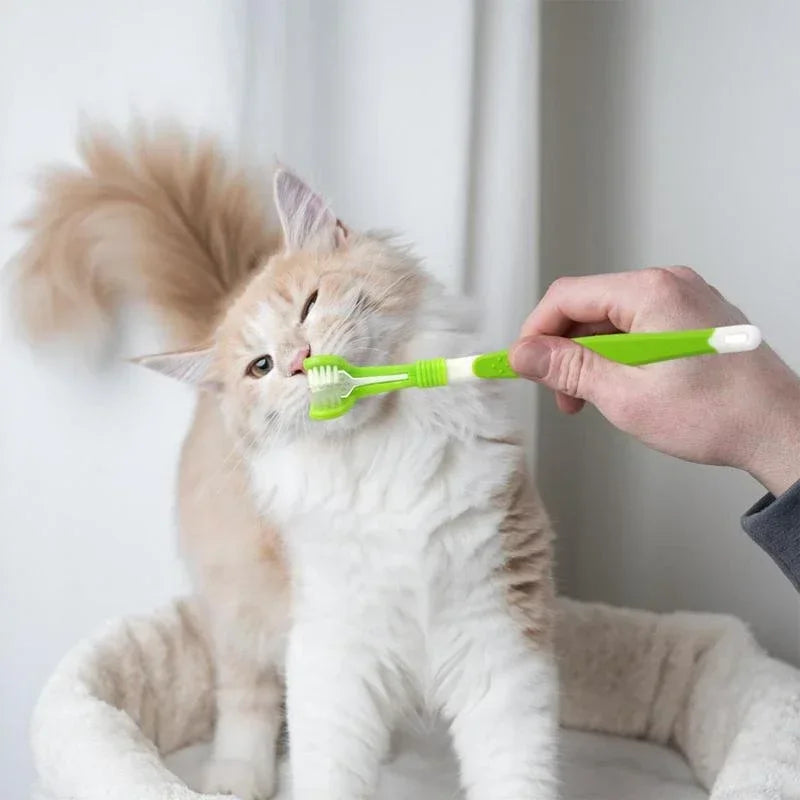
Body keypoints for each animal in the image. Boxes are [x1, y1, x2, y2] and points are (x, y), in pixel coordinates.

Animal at [14, 125, 564, 800]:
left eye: (309, 305)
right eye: (261, 367)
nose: (301, 360)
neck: (384, 456)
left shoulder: (498, 631)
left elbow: (514, 767)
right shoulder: (333, 650)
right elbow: (327, 765)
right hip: (239, 610)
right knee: (243, 697)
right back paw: (236, 778)